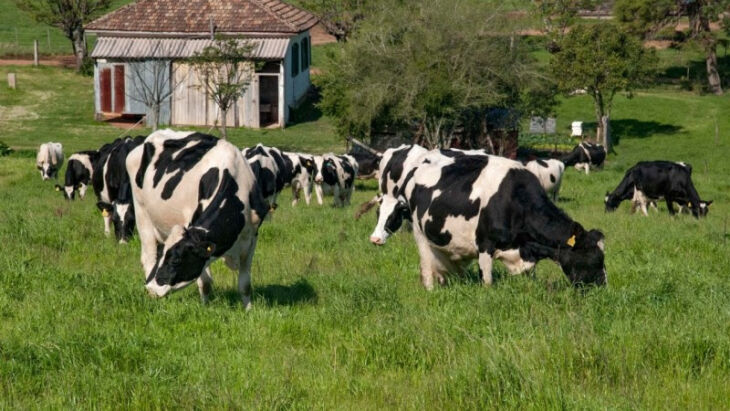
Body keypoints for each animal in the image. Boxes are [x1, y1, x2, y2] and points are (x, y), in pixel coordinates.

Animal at [125, 130, 268, 308]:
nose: (150, 288)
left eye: (176, 260)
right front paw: (205, 308)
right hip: (141, 212)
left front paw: (248, 309)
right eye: (165, 256)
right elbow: (205, 282)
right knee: (148, 257)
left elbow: (245, 284)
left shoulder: (252, 237)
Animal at [370, 151, 604, 290]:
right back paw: (430, 289)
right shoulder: (485, 245)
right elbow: (488, 282)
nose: (602, 287)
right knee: (427, 268)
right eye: (594, 257)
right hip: (421, 235)